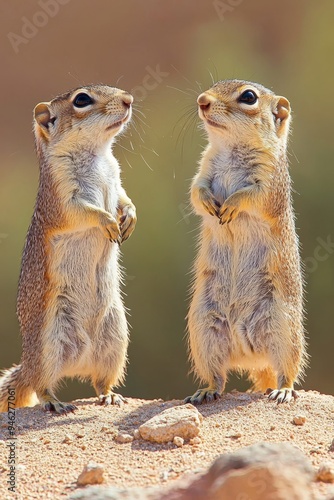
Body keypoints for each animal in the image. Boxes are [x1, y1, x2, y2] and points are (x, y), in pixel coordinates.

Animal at [0, 85, 137, 414]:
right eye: (82, 100)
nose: (128, 100)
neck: (97, 155)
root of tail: (79, 362)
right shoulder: (63, 196)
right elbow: (84, 213)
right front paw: (108, 221)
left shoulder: (117, 178)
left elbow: (124, 198)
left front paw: (129, 217)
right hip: (49, 344)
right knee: (40, 383)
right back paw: (54, 402)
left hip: (116, 340)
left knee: (100, 380)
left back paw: (110, 395)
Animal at [185, 79, 308, 406]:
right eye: (214, 85)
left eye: (248, 97)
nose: (202, 100)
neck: (230, 148)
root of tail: (251, 357)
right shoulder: (203, 168)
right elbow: (196, 192)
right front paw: (210, 204)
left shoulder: (268, 182)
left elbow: (251, 197)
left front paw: (230, 206)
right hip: (203, 330)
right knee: (217, 375)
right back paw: (206, 391)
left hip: (283, 328)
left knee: (286, 369)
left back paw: (283, 390)